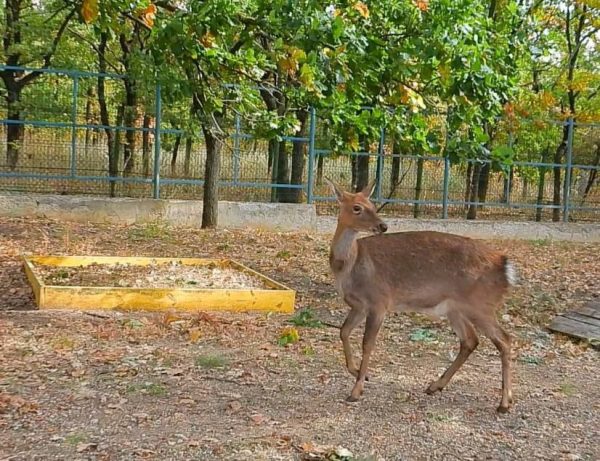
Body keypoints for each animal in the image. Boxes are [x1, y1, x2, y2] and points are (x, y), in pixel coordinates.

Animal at [324, 178, 516, 412]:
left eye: (372, 205)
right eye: (357, 207)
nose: (383, 226)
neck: (349, 266)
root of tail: (505, 268)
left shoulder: (379, 301)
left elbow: (367, 343)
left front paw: (356, 390)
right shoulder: (359, 305)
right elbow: (343, 331)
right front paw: (358, 372)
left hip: (480, 305)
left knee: (504, 340)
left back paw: (504, 402)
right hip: (456, 308)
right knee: (470, 340)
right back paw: (435, 386)